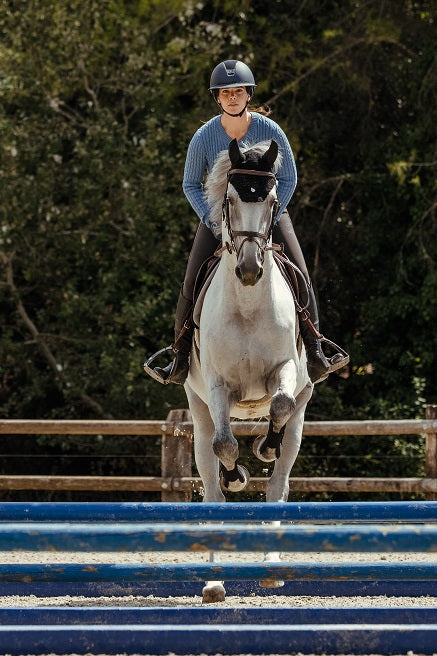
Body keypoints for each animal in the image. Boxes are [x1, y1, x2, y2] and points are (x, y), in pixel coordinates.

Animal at [184, 138, 314, 603]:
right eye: (230, 200)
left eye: (272, 201)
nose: (249, 269)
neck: (247, 303)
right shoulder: (217, 387)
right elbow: (225, 445)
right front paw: (236, 472)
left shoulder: (285, 372)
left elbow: (279, 403)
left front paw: (264, 448)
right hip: (197, 412)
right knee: (211, 488)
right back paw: (213, 582)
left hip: (301, 418)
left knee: (278, 485)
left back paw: (272, 569)